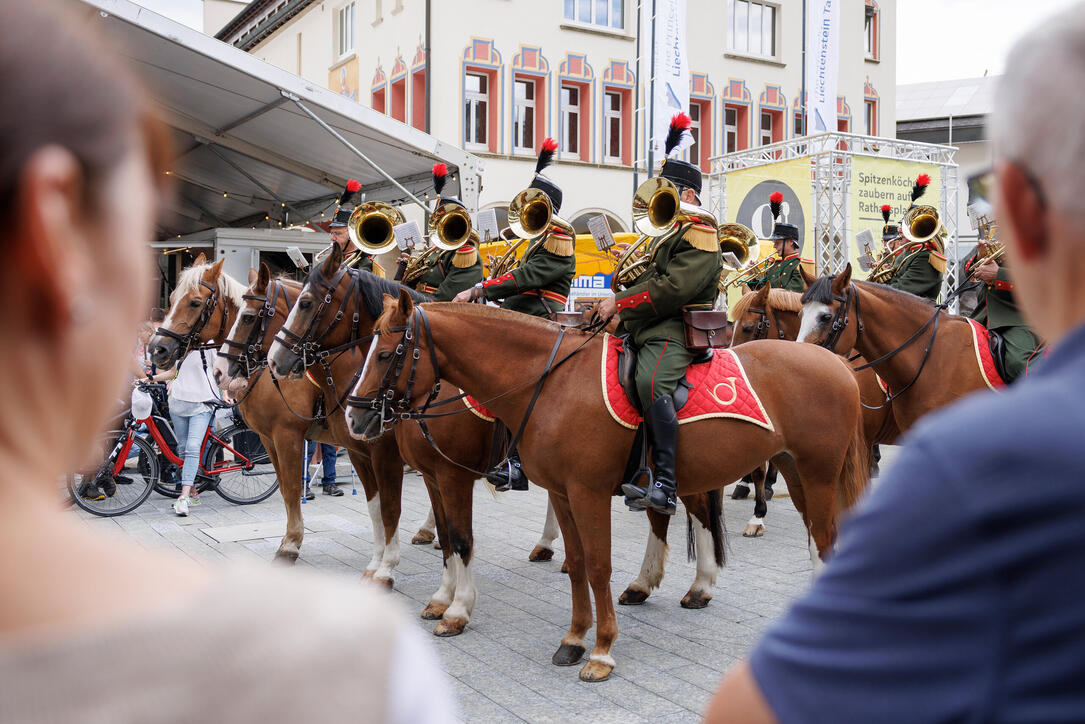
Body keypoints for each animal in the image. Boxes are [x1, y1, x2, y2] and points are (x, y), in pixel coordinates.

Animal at [150, 256, 405, 581]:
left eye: (194, 302)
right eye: (170, 299)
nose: (156, 348)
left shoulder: (289, 436)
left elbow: (295, 488)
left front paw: (291, 546)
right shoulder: (268, 438)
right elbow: (285, 488)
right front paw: (288, 540)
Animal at [342, 290, 868, 681]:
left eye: (386, 353)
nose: (352, 416)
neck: (550, 383)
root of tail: (836, 363)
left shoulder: (580, 491)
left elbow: (594, 566)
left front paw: (600, 651)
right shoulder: (557, 492)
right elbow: (574, 565)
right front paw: (574, 639)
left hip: (818, 474)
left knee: (824, 539)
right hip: (792, 472)